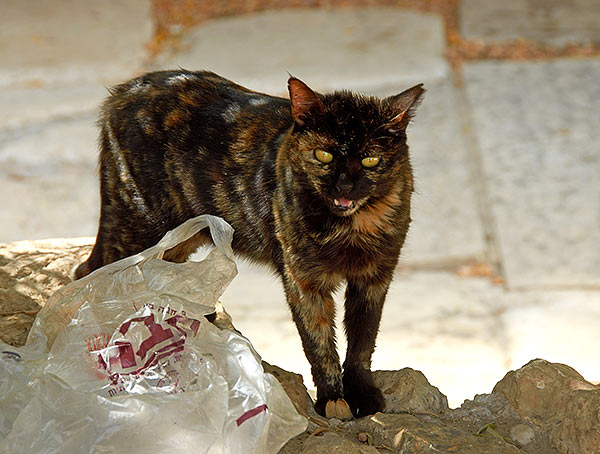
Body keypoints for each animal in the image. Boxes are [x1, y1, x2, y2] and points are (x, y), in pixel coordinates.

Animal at [75, 69, 422, 420]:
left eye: (370, 160)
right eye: (323, 155)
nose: (344, 186)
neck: (352, 228)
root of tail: (126, 89)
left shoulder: (375, 278)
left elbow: (363, 338)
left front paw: (364, 394)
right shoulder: (302, 280)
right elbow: (319, 340)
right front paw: (332, 399)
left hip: (182, 234)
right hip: (137, 225)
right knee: (92, 275)